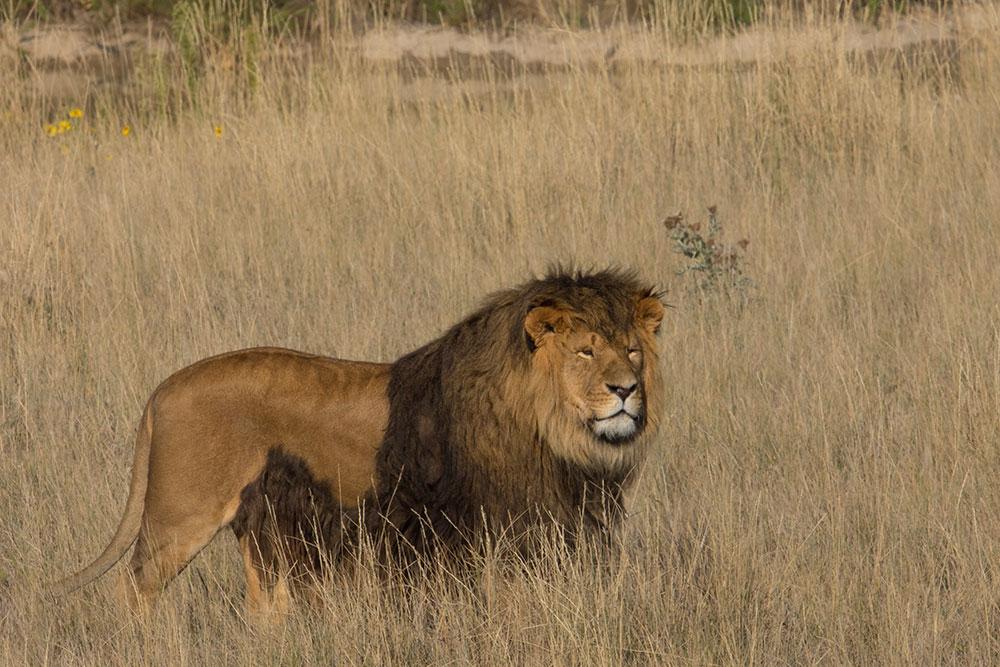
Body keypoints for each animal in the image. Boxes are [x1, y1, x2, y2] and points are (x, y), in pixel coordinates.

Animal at [52, 268, 664, 620]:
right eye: (586, 351)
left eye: (632, 351)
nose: (626, 390)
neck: (552, 433)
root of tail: (163, 389)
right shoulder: (492, 532)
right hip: (180, 517)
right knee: (132, 590)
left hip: (264, 523)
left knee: (263, 607)